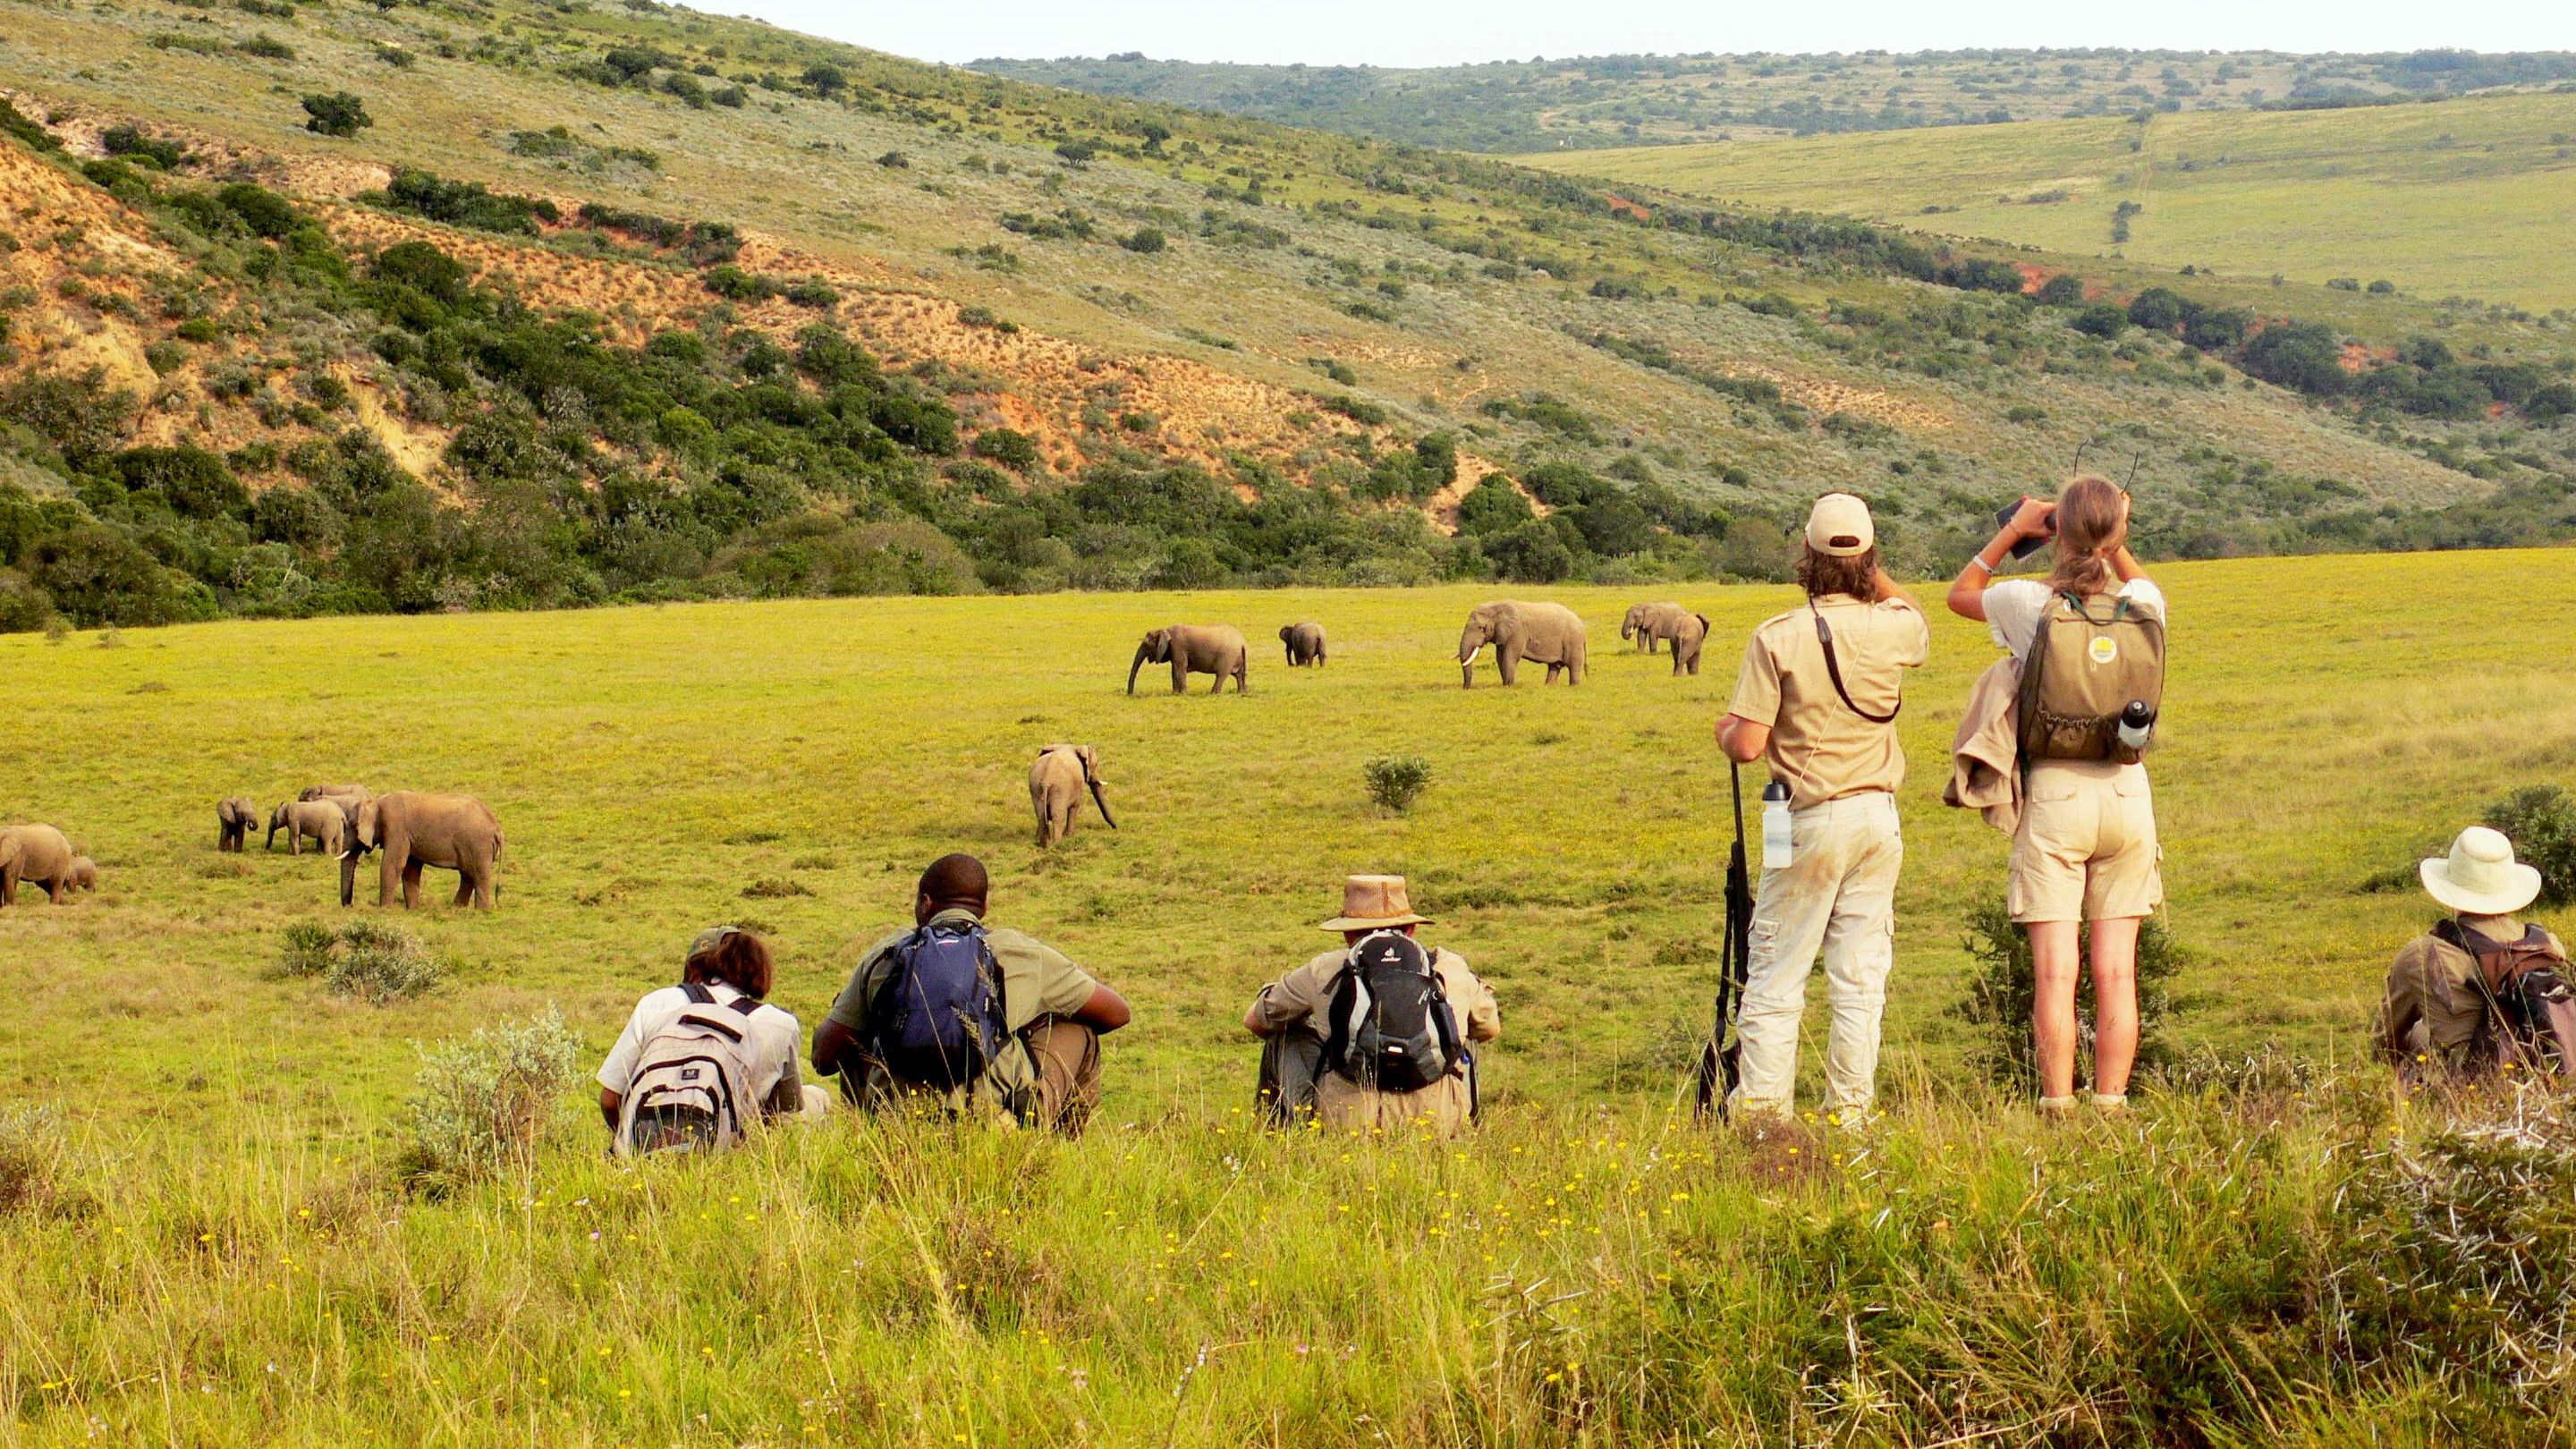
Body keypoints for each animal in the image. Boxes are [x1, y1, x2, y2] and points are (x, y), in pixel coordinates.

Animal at [343, 789, 502, 902]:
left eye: (353, 825)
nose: (349, 905)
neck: (377, 800)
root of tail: (497, 827)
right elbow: (411, 869)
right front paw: (412, 910)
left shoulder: (397, 829)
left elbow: (393, 865)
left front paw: (384, 910)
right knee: (468, 876)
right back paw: (456, 910)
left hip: (479, 845)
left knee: (479, 877)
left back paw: (481, 912)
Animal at [1128, 621, 1246, 696]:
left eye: (1146, 645)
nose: (1131, 694)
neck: (1165, 630)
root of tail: (1242, 641)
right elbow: (1174, 669)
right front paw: (1175, 694)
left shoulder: (1178, 646)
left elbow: (1179, 668)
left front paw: (1183, 694)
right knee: (1238, 674)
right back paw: (1241, 693)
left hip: (1228, 656)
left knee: (1221, 674)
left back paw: (1213, 693)